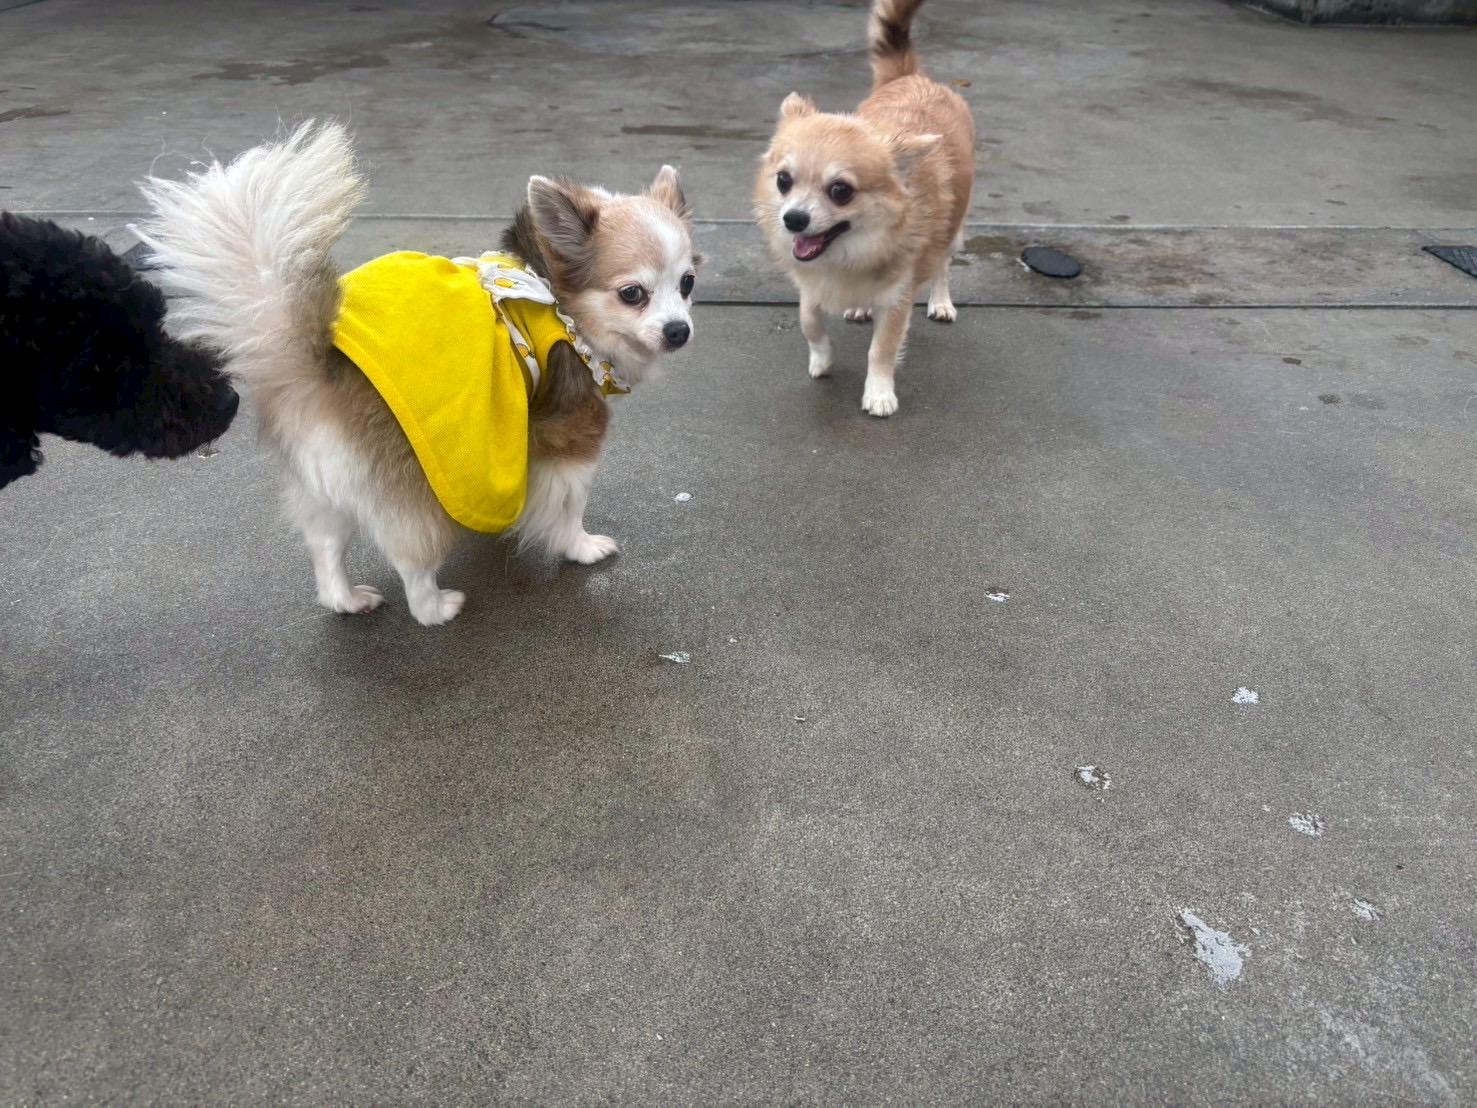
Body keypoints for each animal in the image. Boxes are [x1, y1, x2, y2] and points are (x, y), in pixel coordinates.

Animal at [134, 122, 699, 626]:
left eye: (689, 283)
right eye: (632, 293)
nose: (679, 330)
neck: (553, 294)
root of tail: (309, 369)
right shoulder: (571, 434)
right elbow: (570, 503)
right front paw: (580, 547)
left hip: (325, 490)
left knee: (325, 550)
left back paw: (348, 600)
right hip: (415, 494)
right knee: (412, 565)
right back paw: (438, 608)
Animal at [754, 0, 975, 417]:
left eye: (841, 191)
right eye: (784, 181)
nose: (793, 219)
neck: (848, 253)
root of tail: (912, 77)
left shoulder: (897, 299)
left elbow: (882, 350)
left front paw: (879, 392)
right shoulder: (811, 286)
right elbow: (809, 321)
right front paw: (822, 357)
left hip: (953, 231)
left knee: (942, 265)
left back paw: (940, 301)